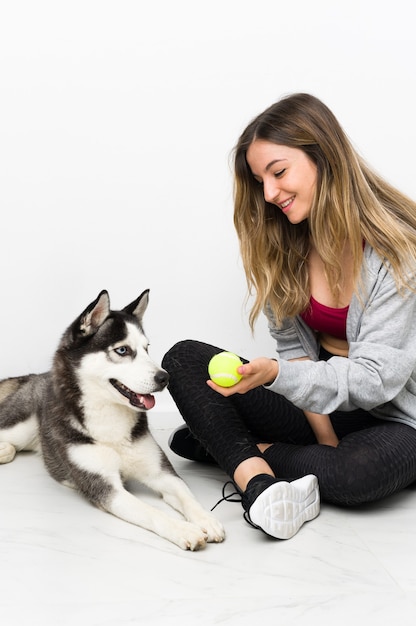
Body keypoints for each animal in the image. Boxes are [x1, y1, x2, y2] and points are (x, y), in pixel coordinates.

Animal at [0, 290, 224, 548]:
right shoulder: (105, 488)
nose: (164, 377)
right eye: (123, 350)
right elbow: (151, 512)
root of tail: (36, 376)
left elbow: (186, 495)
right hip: (20, 425)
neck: (109, 419)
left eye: (147, 348)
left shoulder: (161, 473)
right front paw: (184, 529)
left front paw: (206, 519)